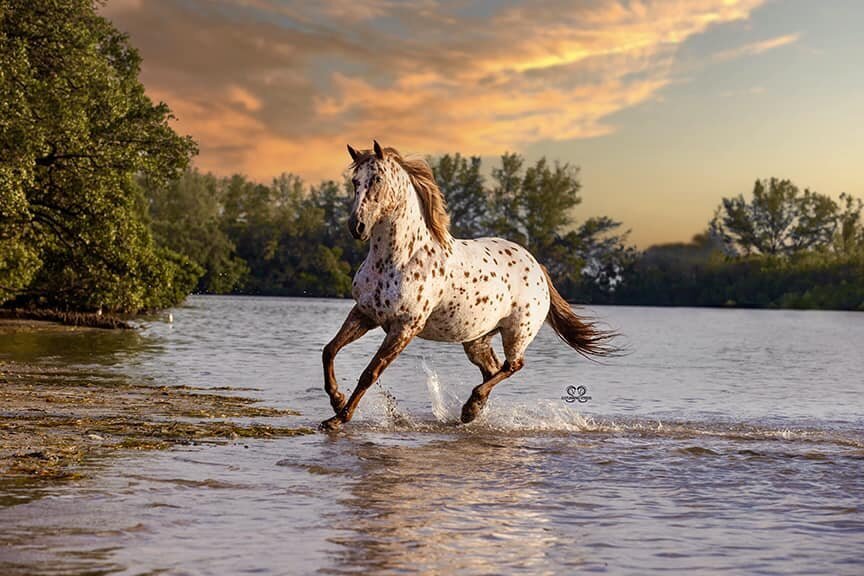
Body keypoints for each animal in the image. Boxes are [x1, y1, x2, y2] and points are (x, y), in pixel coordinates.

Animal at [320, 142, 612, 430]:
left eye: (378, 179)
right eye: (356, 182)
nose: (357, 226)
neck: (400, 258)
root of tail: (537, 266)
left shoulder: (405, 327)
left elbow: (370, 372)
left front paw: (338, 418)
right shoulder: (365, 313)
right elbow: (329, 350)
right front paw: (336, 400)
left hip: (517, 333)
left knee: (513, 365)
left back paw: (470, 407)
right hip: (477, 339)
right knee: (493, 369)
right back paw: (473, 410)